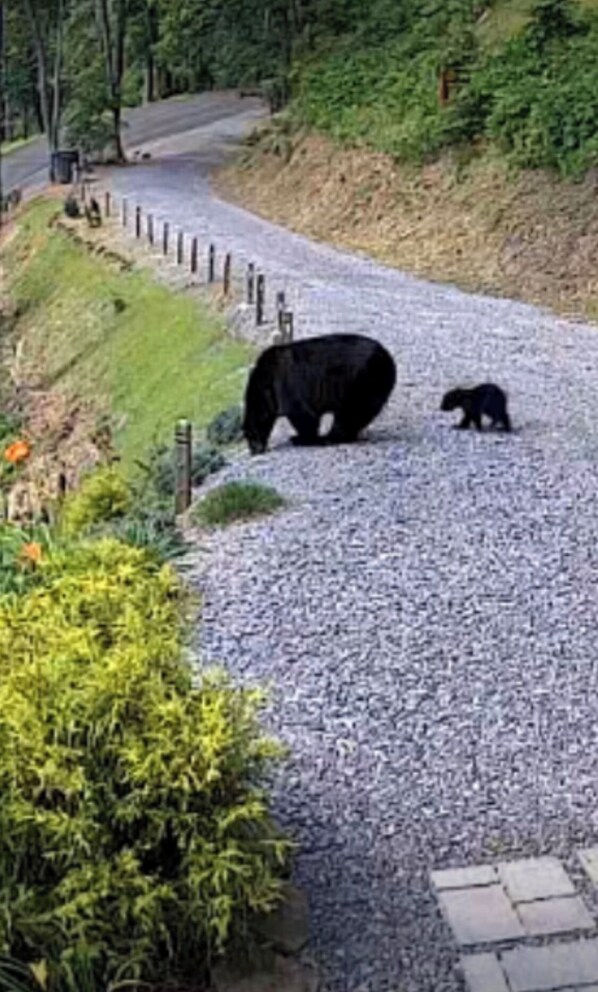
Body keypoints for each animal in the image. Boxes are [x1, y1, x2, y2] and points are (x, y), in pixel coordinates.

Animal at [243, 333, 397, 455]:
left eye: (250, 435)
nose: (254, 451)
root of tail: (387, 356)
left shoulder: (286, 386)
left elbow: (302, 414)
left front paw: (302, 438)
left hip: (359, 381)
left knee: (350, 412)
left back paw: (330, 437)